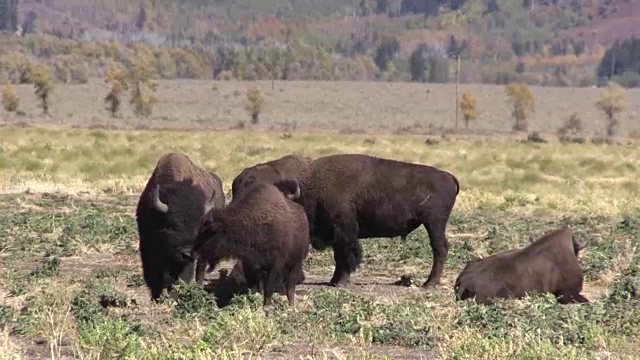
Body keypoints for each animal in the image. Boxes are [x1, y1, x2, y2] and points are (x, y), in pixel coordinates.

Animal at [135, 152, 225, 300]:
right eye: (171, 226)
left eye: (199, 228)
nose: (187, 253)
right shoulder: (149, 249)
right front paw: (157, 298)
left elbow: (182, 277)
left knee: (200, 267)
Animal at [190, 179, 310, 308]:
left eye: (206, 230)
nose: (193, 253)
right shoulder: (249, 265)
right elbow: (254, 288)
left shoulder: (275, 265)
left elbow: (269, 288)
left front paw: (266, 306)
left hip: (296, 264)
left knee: (290, 288)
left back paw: (291, 306)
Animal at [290, 153, 460, 288]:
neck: (314, 186)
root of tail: (448, 176)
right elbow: (339, 257)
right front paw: (333, 281)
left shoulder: (344, 232)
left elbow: (344, 257)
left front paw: (340, 282)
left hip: (434, 224)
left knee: (440, 249)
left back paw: (429, 284)